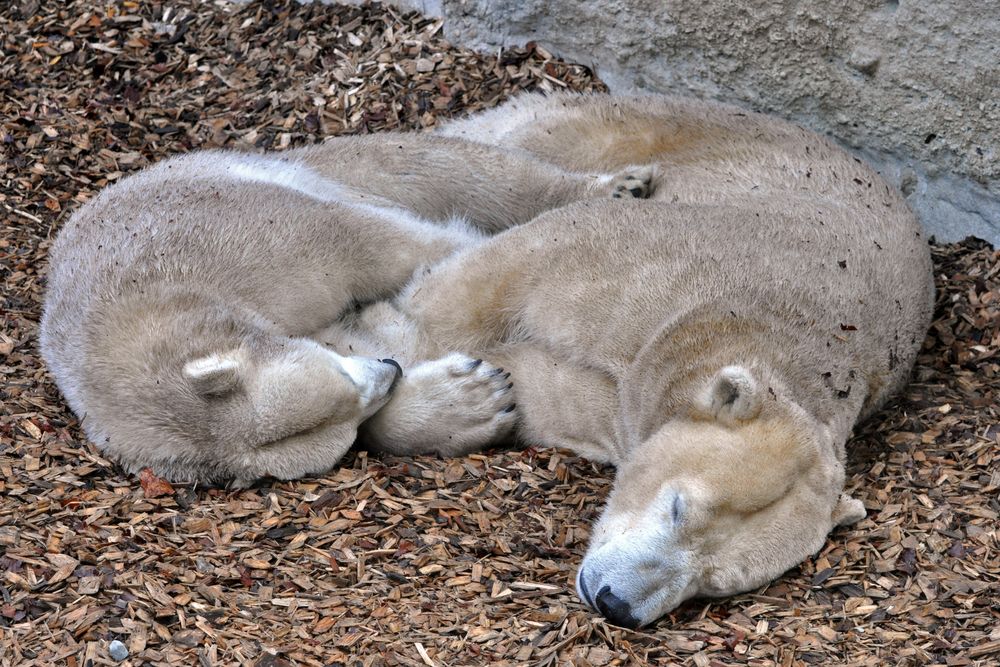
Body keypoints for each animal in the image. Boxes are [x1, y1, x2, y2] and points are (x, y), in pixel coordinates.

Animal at [39, 130, 652, 486]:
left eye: (334, 376)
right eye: (343, 420)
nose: (390, 373)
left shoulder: (247, 242)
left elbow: (383, 248)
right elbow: (369, 329)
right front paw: (472, 399)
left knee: (438, 167)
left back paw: (620, 186)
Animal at [340, 94, 932, 628]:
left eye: (716, 582)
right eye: (678, 508)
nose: (616, 603)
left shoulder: (630, 401)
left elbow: (545, 391)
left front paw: (473, 398)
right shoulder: (645, 258)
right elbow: (493, 281)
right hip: (631, 129)